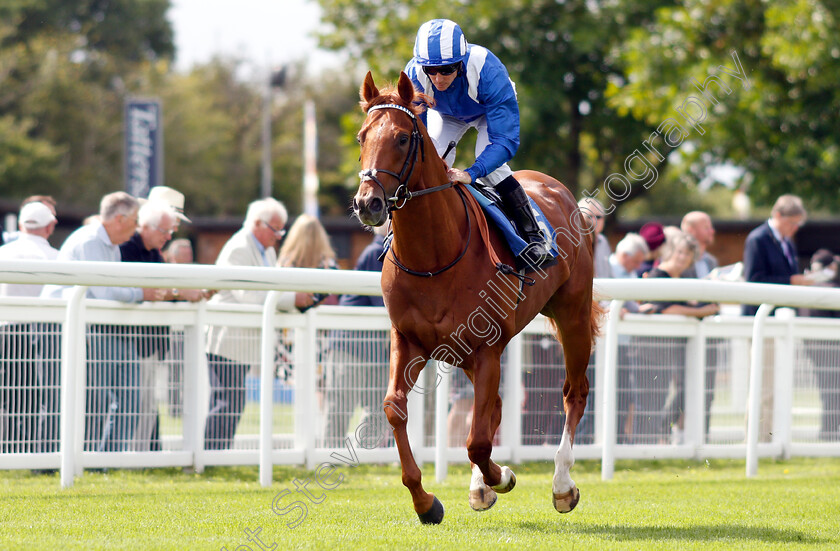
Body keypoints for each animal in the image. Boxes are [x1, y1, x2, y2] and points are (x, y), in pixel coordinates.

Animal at [352, 71, 600, 524]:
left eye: (402, 138)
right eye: (362, 136)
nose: (368, 203)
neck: (434, 256)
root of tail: (557, 188)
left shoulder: (488, 348)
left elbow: (478, 442)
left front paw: (501, 476)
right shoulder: (409, 339)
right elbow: (396, 408)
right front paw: (426, 501)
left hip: (570, 315)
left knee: (574, 392)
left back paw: (561, 485)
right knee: (495, 408)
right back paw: (480, 486)